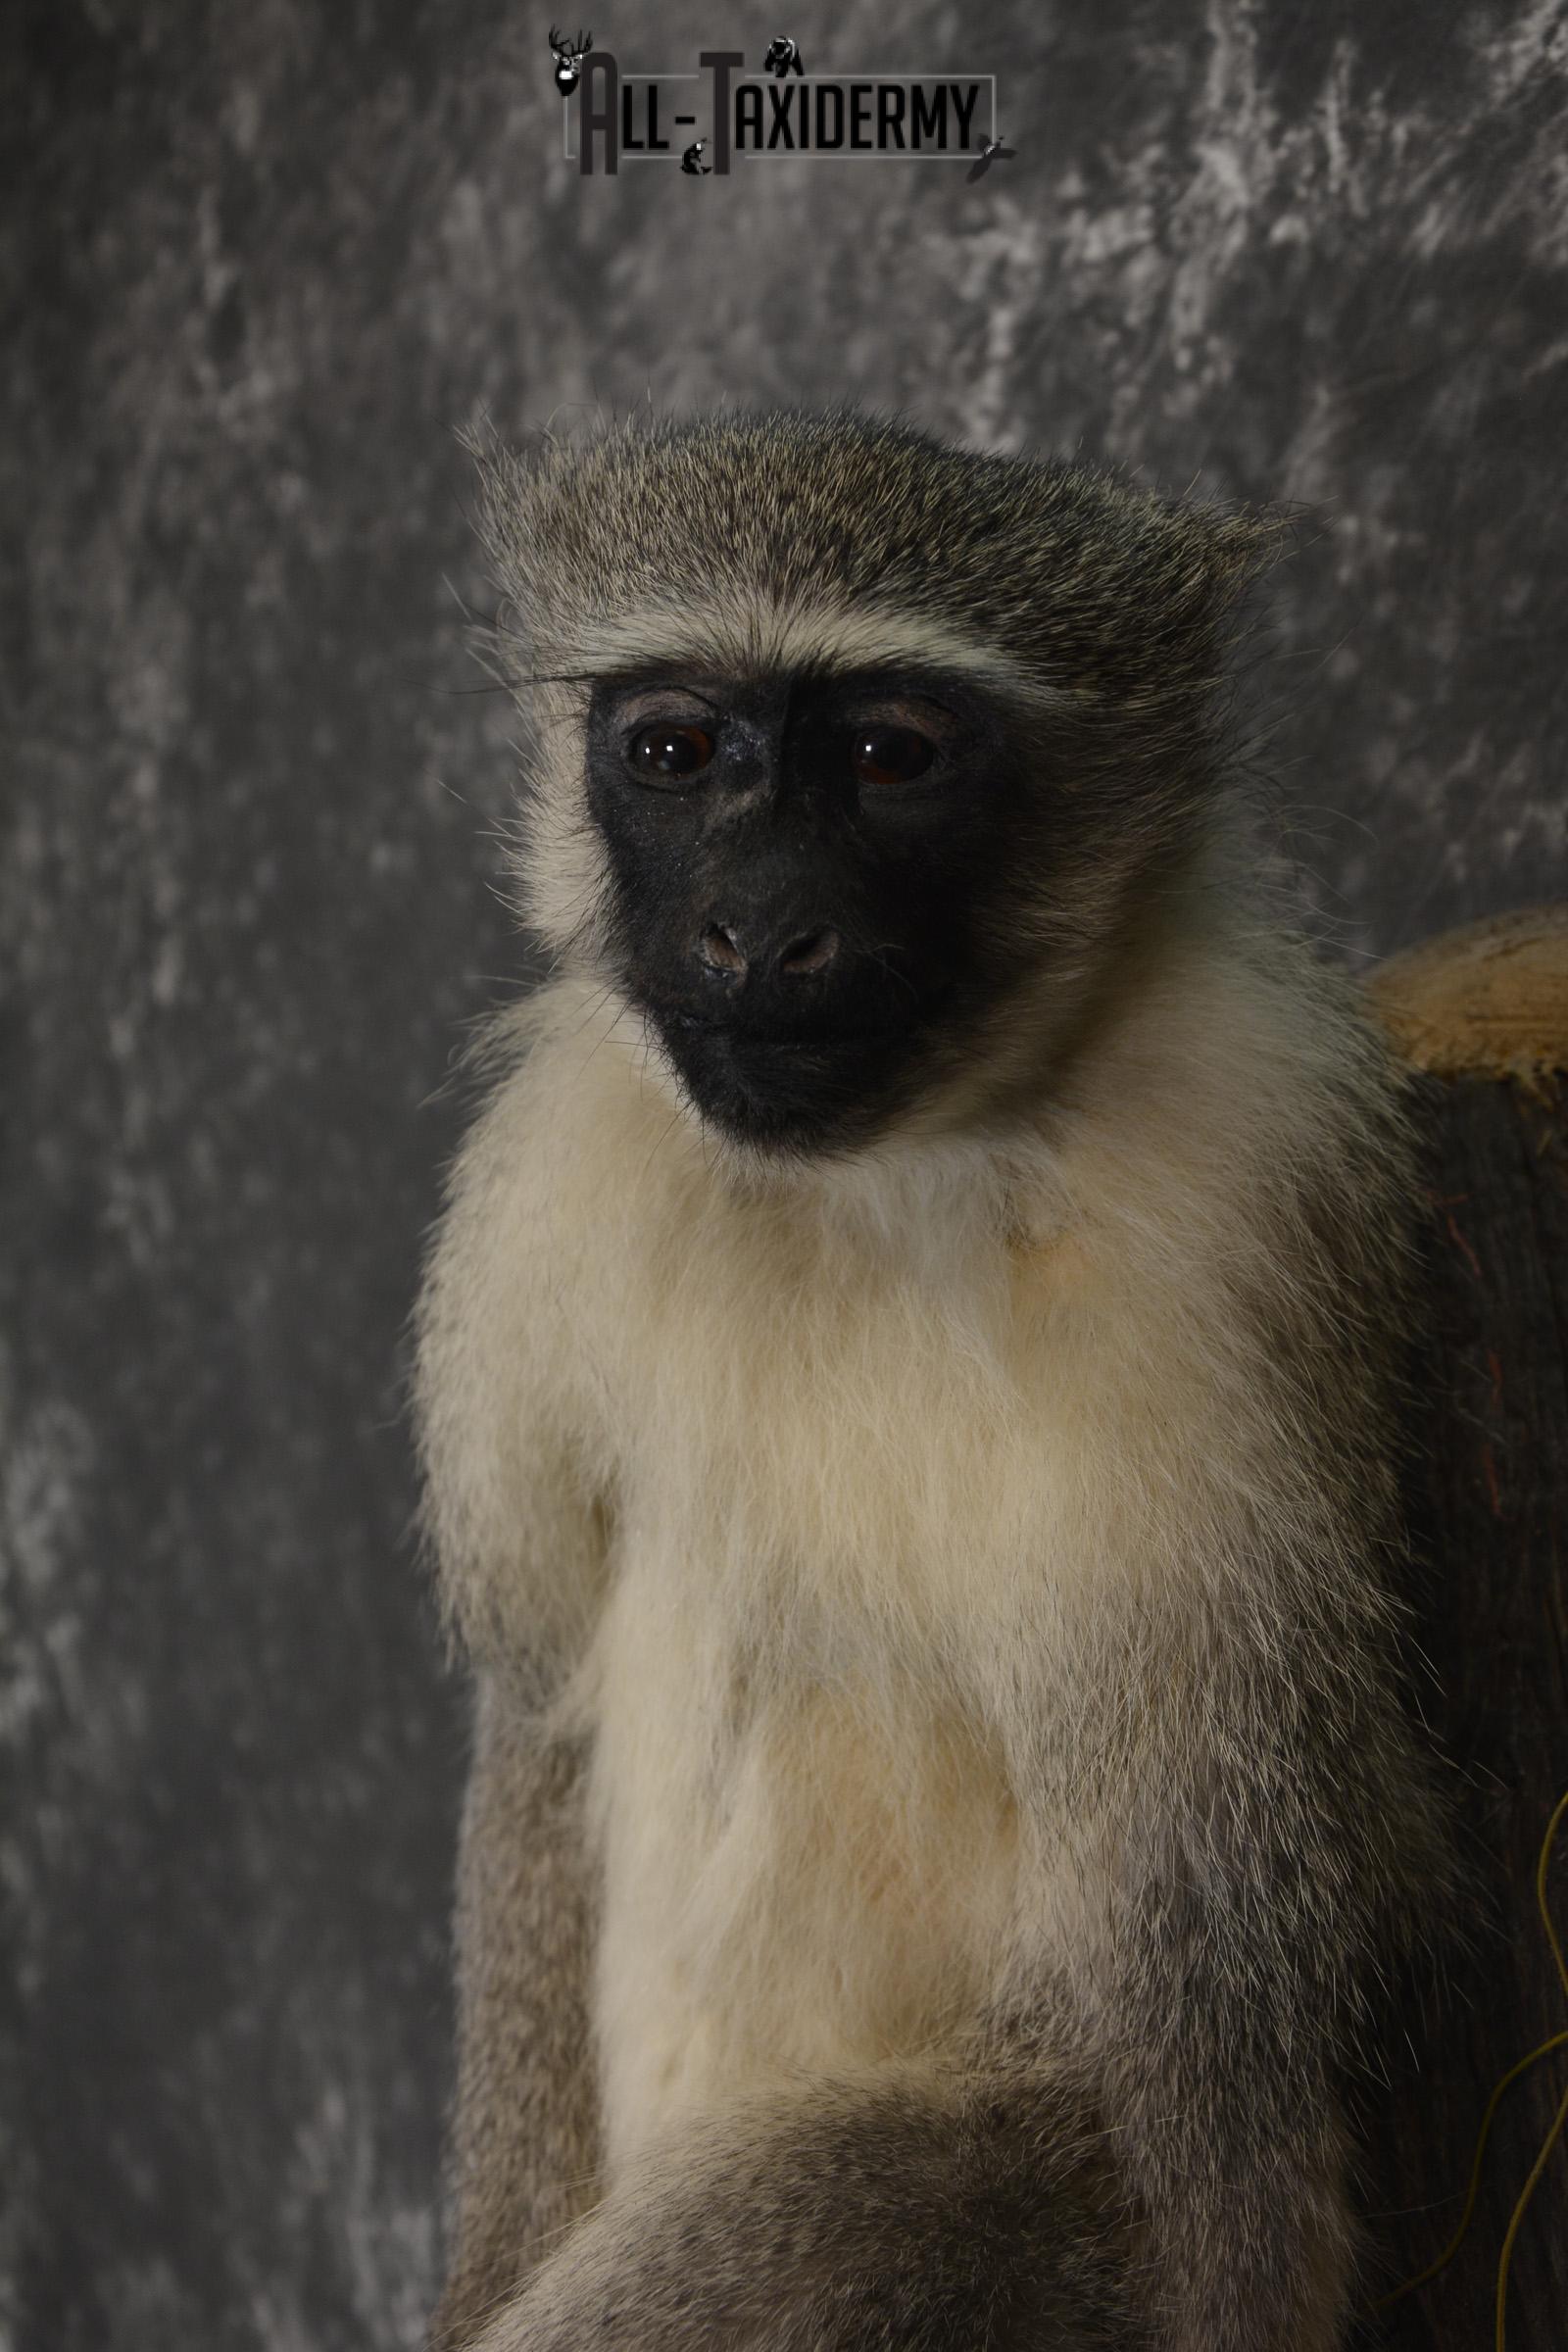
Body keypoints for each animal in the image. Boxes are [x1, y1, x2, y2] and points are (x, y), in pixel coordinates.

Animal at [413, 407, 1449, 2352]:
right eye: (676, 751)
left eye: (891, 758)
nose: (756, 931)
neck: (876, 1185)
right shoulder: (554, 1183)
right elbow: (544, 1716)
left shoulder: (1224, 1218)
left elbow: (1222, 1973)